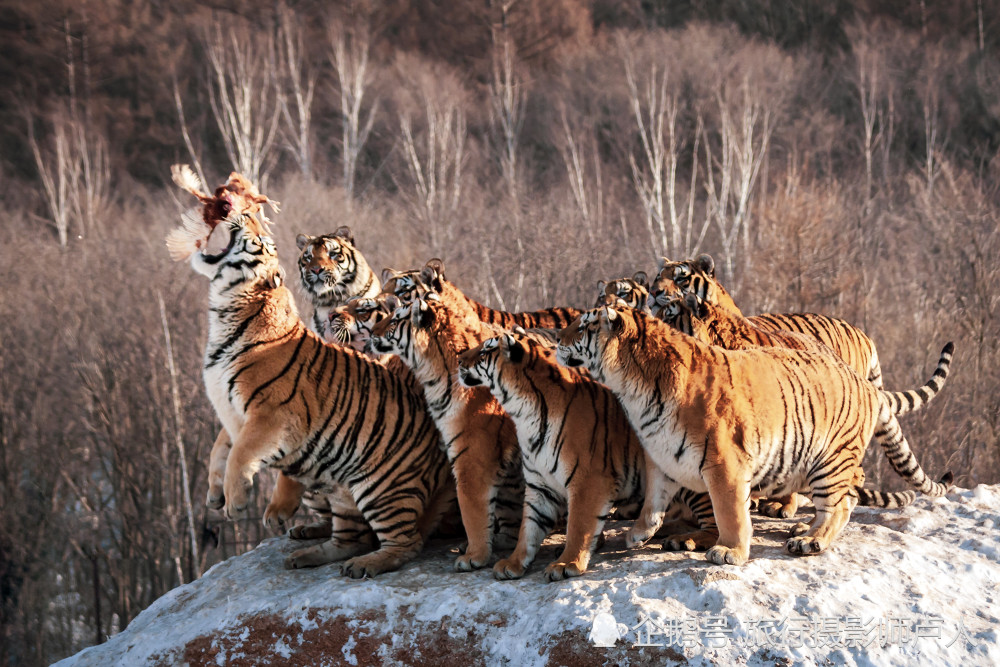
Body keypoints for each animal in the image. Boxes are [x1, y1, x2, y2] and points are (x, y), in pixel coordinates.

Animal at [368, 290, 524, 572]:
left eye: (395, 320)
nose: (372, 331)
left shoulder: (472, 463)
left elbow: (472, 512)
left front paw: (473, 557)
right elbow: (505, 508)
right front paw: (496, 544)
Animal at [560, 306, 956, 568]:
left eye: (584, 326)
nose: (558, 338)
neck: (633, 388)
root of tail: (866, 384)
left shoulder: (724, 464)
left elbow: (730, 512)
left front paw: (729, 551)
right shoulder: (662, 455)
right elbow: (652, 501)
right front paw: (638, 533)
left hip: (829, 460)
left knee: (843, 502)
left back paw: (811, 539)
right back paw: (804, 527)